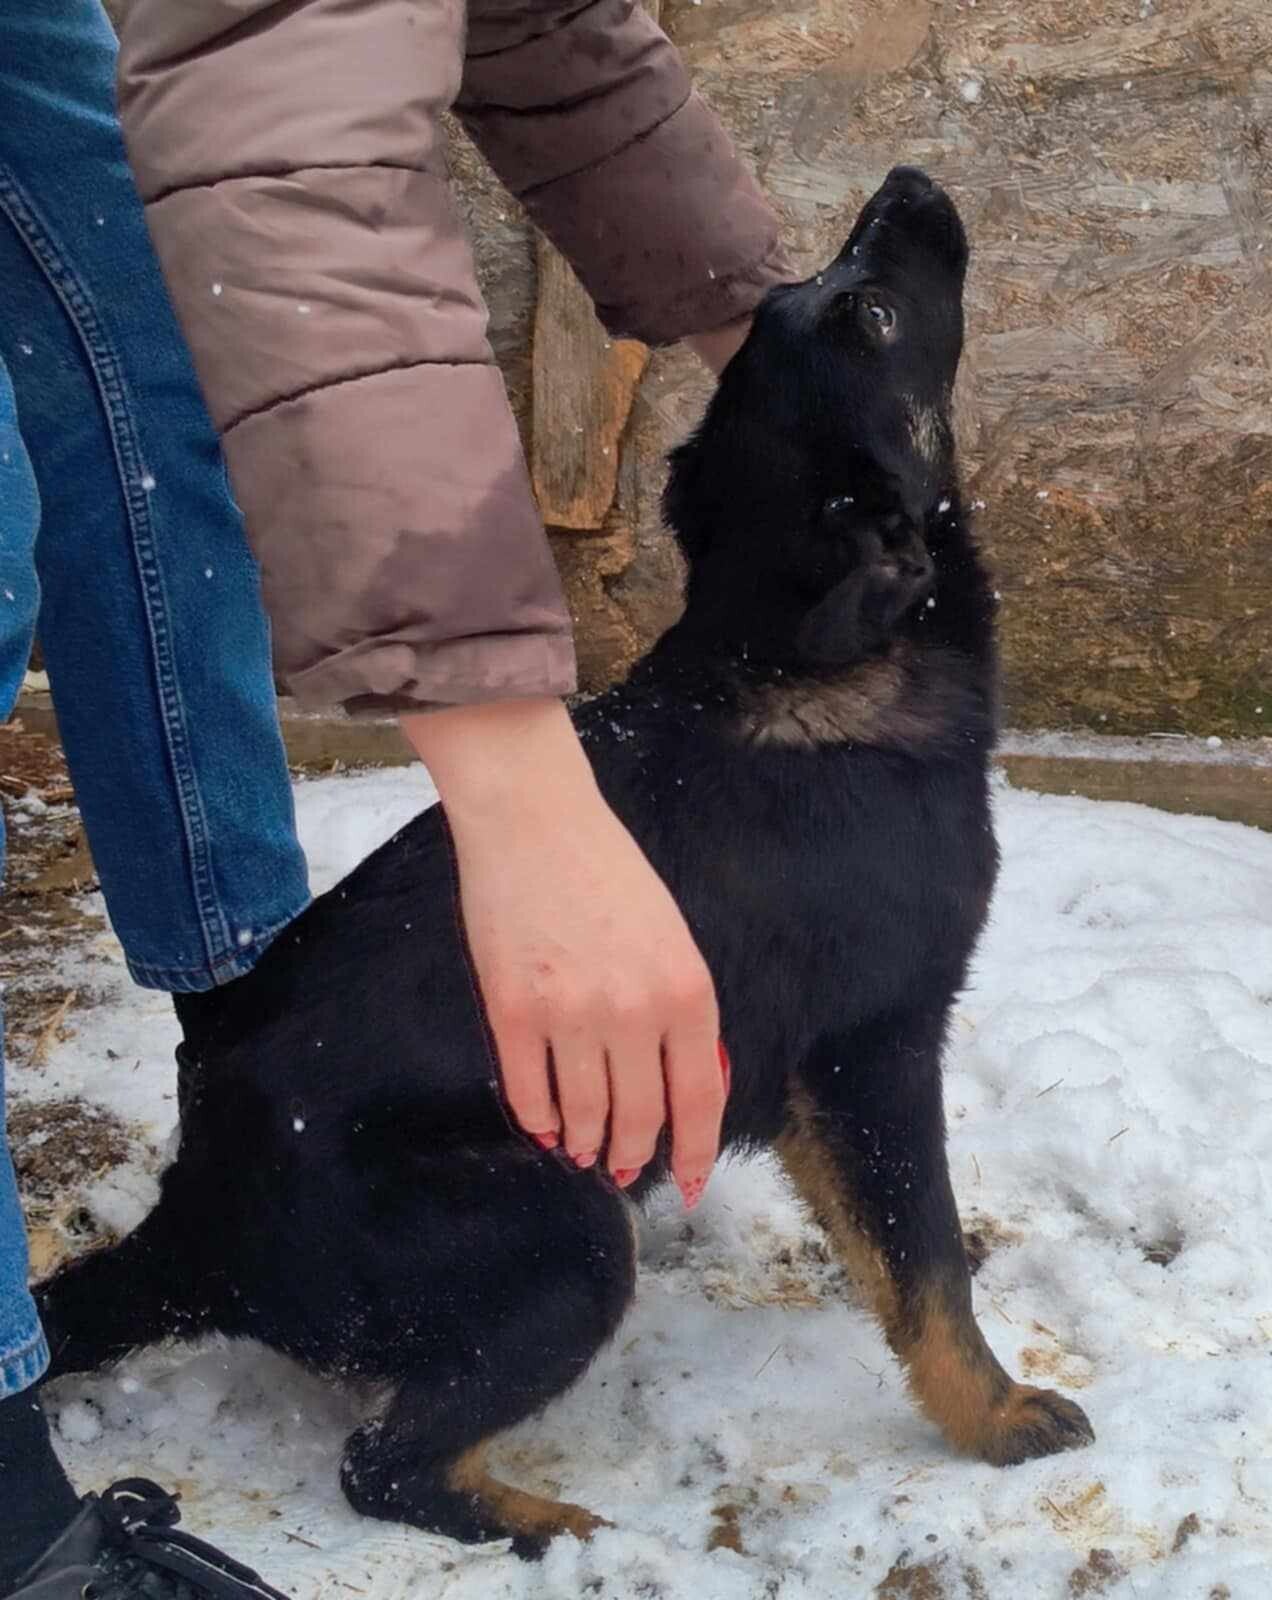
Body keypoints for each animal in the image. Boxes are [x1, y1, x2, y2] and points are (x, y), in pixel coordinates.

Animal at [37, 167, 1094, 1557]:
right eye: (869, 313)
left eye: (815, 296)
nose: (907, 185)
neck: (798, 649)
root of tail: (196, 1229)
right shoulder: (879, 1049)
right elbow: (932, 1272)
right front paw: (999, 1416)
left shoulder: (810, 1080)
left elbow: (881, 1239)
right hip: (573, 1231)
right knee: (383, 1465)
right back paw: (560, 1525)